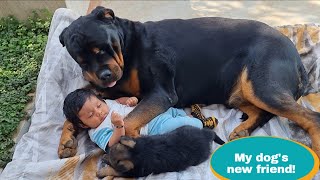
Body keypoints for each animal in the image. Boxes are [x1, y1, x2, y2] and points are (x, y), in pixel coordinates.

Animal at [58, 5, 320, 158]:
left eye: (102, 49)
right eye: (81, 61)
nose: (104, 76)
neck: (127, 46)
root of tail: (296, 56)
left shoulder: (161, 93)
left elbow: (129, 119)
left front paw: (125, 141)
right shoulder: (110, 88)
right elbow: (75, 101)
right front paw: (67, 140)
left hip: (261, 85)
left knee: (309, 117)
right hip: (238, 92)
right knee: (263, 112)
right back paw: (242, 130)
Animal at [96, 126, 224, 178]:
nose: (106, 152)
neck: (138, 153)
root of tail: (205, 136)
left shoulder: (132, 172)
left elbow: (114, 171)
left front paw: (101, 171)